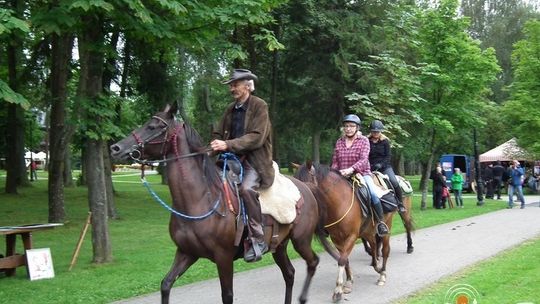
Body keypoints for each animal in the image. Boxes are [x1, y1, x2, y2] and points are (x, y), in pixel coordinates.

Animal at [109, 105, 332, 304]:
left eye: (153, 127)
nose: (116, 148)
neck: (200, 199)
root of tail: (306, 188)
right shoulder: (186, 253)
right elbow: (166, 284)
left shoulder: (223, 257)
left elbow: (227, 296)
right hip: (280, 245)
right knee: (290, 273)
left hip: (301, 240)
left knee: (313, 263)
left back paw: (303, 297)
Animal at [292, 163, 400, 300]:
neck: (339, 203)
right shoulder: (336, 239)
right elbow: (345, 259)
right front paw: (348, 282)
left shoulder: (351, 237)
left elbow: (342, 260)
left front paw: (338, 290)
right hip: (367, 231)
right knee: (374, 246)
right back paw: (376, 267)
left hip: (387, 226)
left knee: (385, 250)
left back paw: (382, 275)